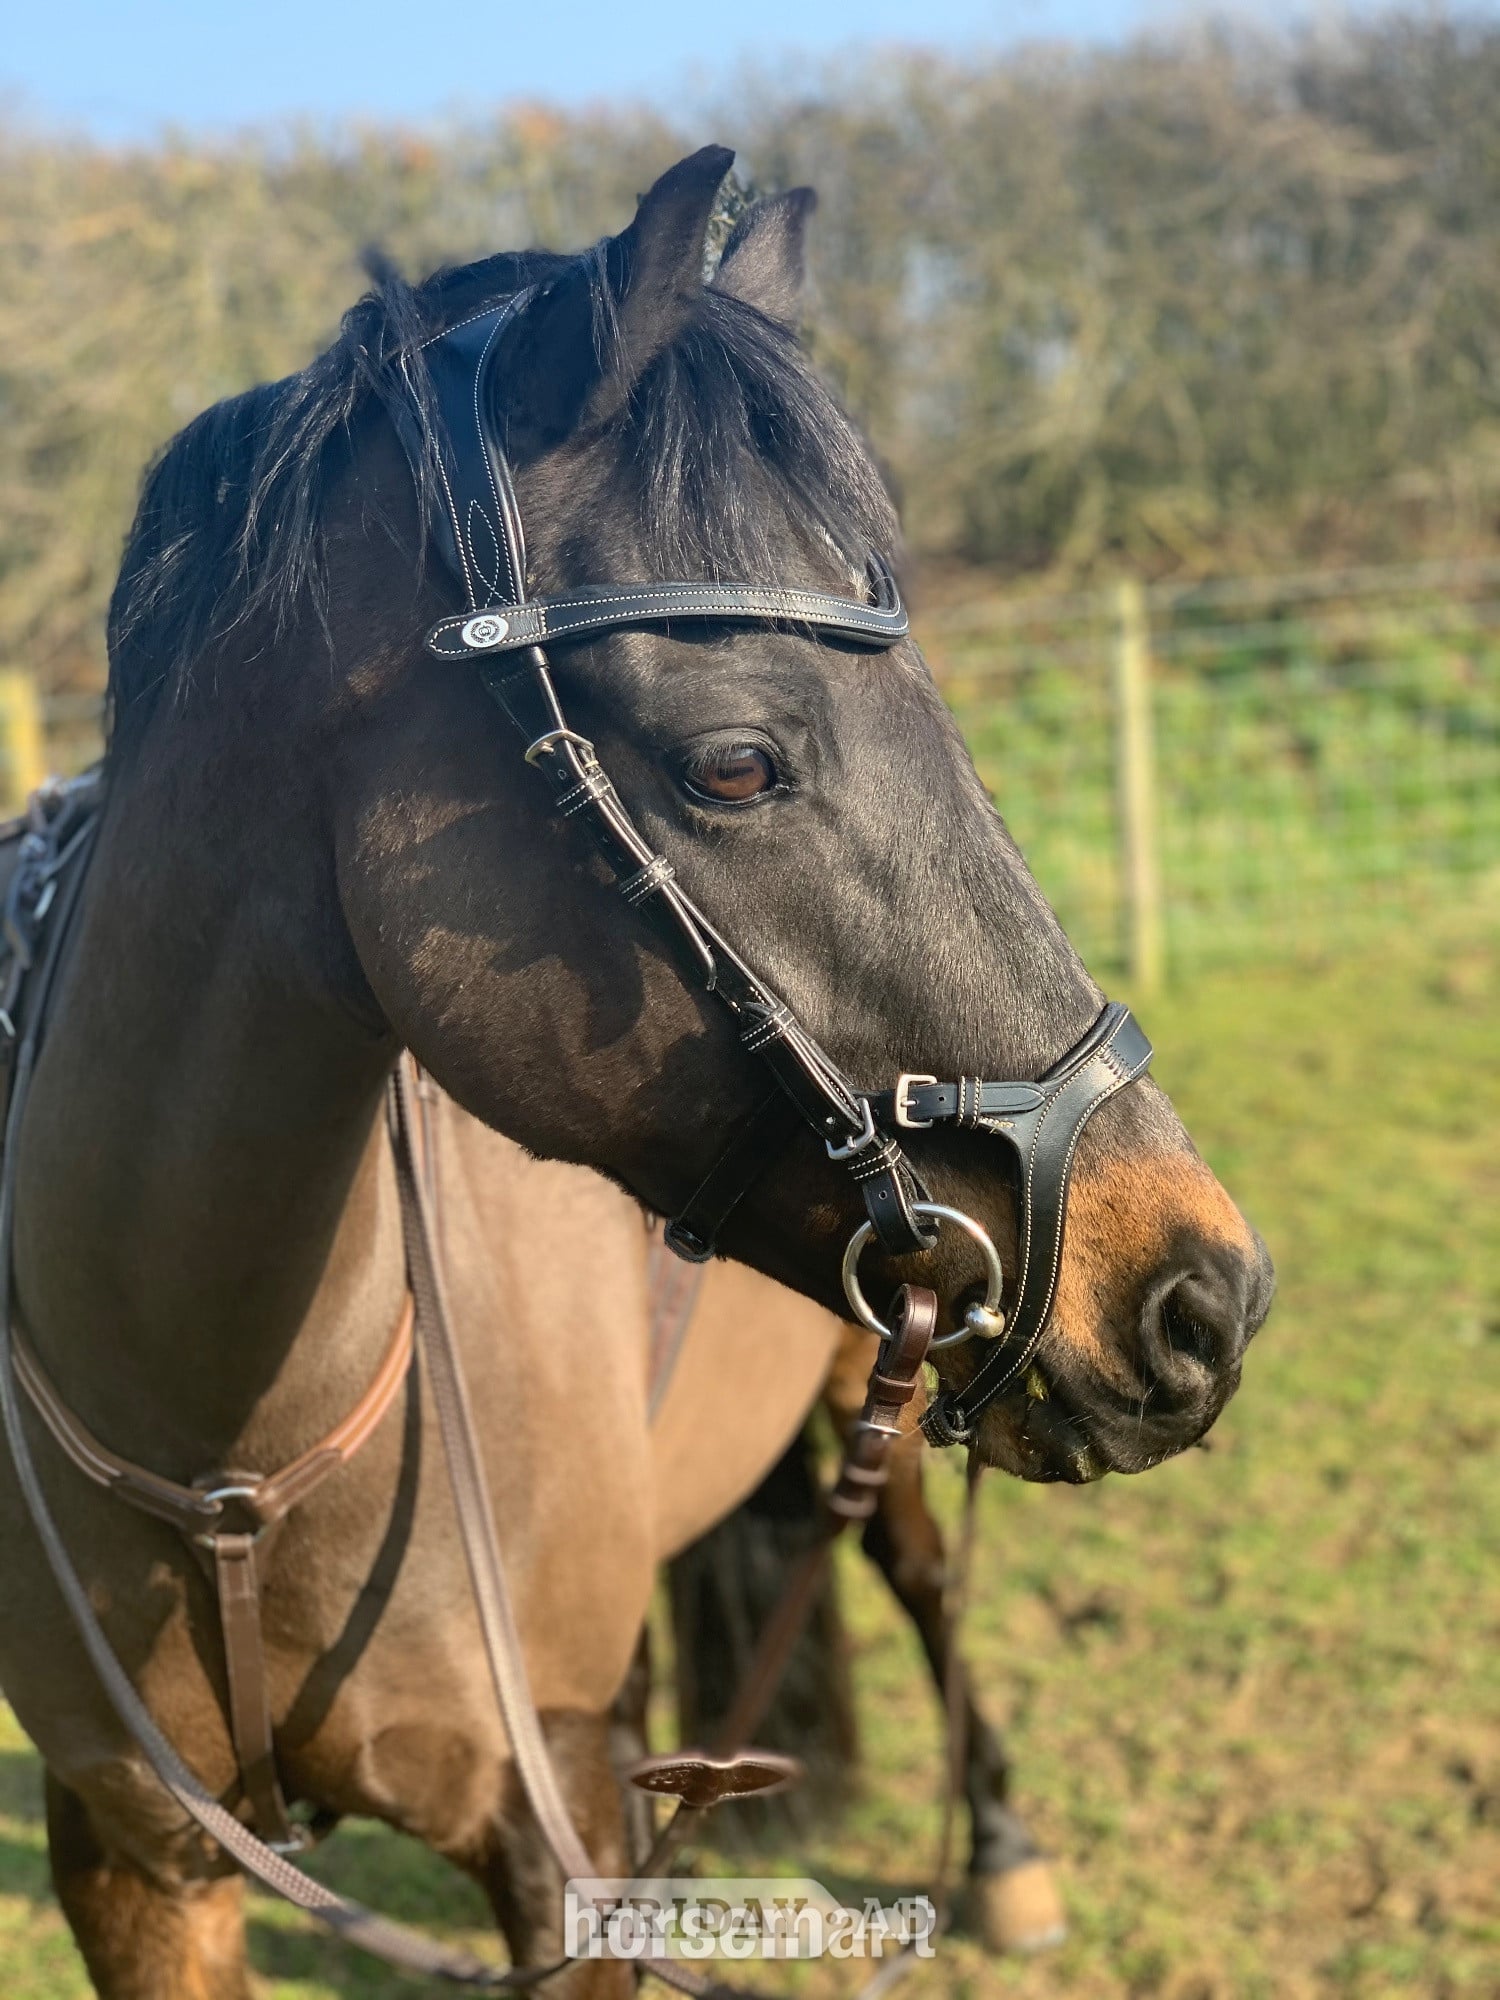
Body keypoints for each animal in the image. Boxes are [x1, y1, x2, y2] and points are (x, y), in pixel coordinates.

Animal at [0, 145, 1273, 1999]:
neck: (227, 1429)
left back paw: (1003, 1851)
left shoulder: (552, 1850)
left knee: (918, 1576)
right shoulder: (134, 1855)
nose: (1202, 1297)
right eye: (734, 764)